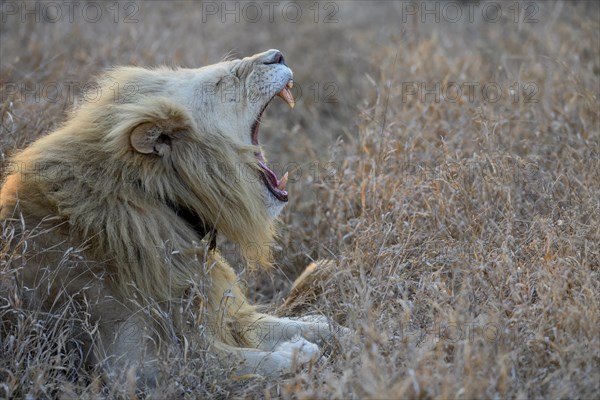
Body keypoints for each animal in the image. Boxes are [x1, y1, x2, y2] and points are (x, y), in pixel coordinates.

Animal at [0, 50, 344, 388]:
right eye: (224, 80)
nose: (277, 55)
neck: (158, 201)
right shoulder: (130, 365)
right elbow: (233, 362)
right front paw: (298, 352)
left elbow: (283, 325)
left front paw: (340, 332)